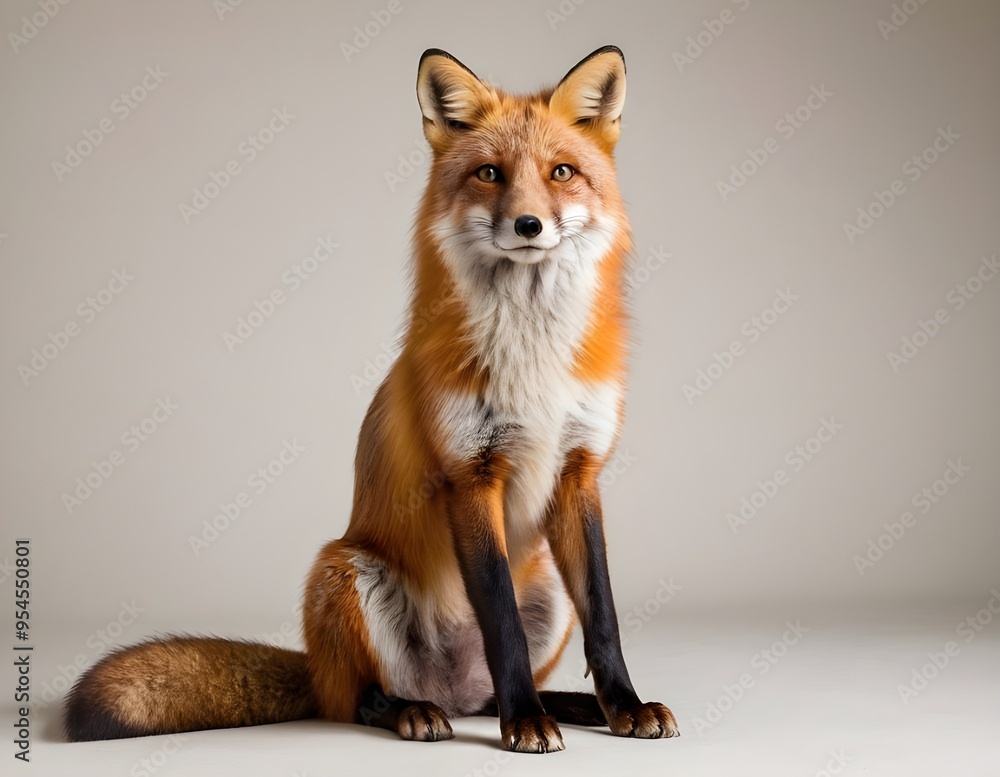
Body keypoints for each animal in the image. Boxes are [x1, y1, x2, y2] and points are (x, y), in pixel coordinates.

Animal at [64, 45, 679, 754]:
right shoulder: (470, 475)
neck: (533, 357)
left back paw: (566, 705)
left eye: (562, 173)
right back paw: (420, 711)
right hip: (343, 571)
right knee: (359, 701)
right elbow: (500, 621)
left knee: (482, 689)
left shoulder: (579, 473)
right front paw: (525, 721)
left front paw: (623, 705)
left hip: (544, 588)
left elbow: (604, 616)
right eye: (489, 174)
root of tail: (451, 688)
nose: (529, 225)